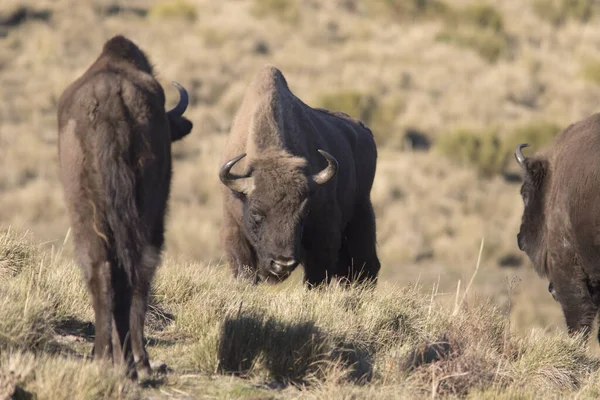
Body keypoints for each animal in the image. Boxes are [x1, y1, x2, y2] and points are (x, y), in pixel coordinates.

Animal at [56, 35, 192, 378]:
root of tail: (111, 103)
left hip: (93, 215)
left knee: (105, 269)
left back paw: (111, 358)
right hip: (141, 218)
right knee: (133, 271)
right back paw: (133, 362)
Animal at [219, 65, 380, 288]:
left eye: (304, 212)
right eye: (256, 213)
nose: (282, 264)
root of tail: (364, 132)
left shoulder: (323, 236)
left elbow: (316, 277)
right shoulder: (234, 231)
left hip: (361, 214)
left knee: (365, 265)